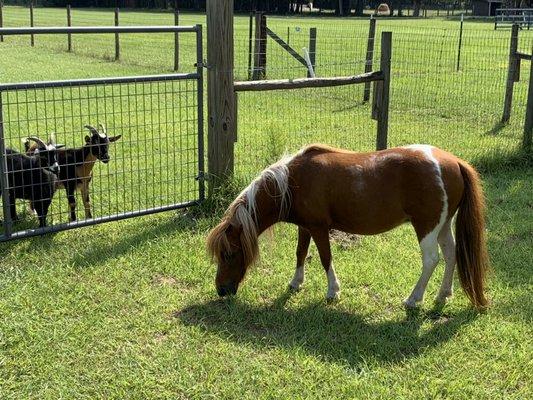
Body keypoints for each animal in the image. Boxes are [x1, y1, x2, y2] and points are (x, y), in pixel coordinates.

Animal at [206, 144, 488, 310]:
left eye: (229, 253)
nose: (221, 290)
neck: (292, 182)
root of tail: (454, 162)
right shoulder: (305, 227)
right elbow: (300, 254)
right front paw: (296, 283)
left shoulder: (319, 228)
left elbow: (324, 258)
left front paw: (333, 291)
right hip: (443, 225)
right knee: (451, 255)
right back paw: (443, 295)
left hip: (427, 226)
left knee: (431, 260)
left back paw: (414, 299)